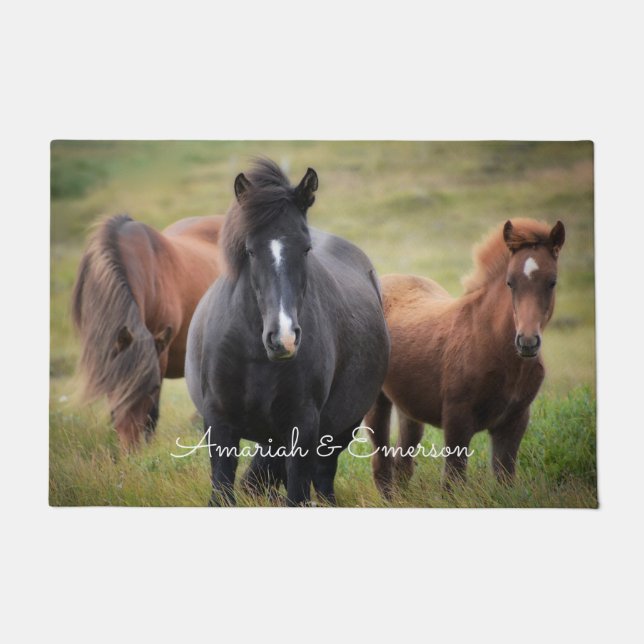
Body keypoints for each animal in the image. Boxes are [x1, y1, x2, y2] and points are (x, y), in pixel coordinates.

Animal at [185, 159, 390, 506]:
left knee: (323, 479)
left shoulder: (302, 427)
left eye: (306, 249)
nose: (284, 338)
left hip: (338, 431)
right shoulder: (219, 423)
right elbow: (223, 491)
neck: (255, 355)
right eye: (250, 250)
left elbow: (297, 493)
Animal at [364, 218, 565, 495]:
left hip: (409, 407)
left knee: (402, 461)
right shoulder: (457, 419)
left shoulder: (515, 421)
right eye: (510, 282)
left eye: (552, 281)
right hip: (377, 401)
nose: (527, 342)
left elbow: (505, 479)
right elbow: (452, 480)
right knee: (381, 463)